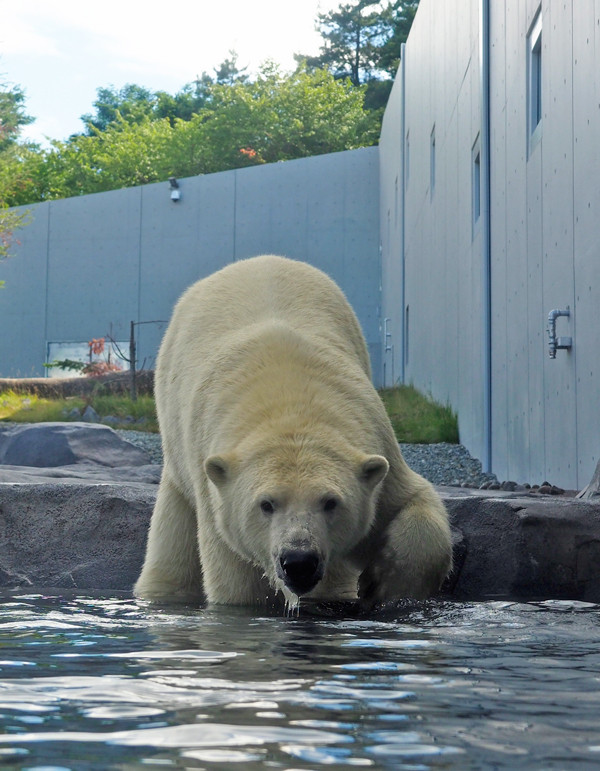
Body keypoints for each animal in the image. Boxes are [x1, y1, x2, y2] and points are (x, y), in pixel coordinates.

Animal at [134, 258, 452, 608]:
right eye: (266, 504)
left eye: (331, 502)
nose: (299, 561)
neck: (289, 401)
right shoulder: (217, 499)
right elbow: (239, 581)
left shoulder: (378, 444)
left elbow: (410, 504)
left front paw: (382, 582)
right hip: (178, 453)